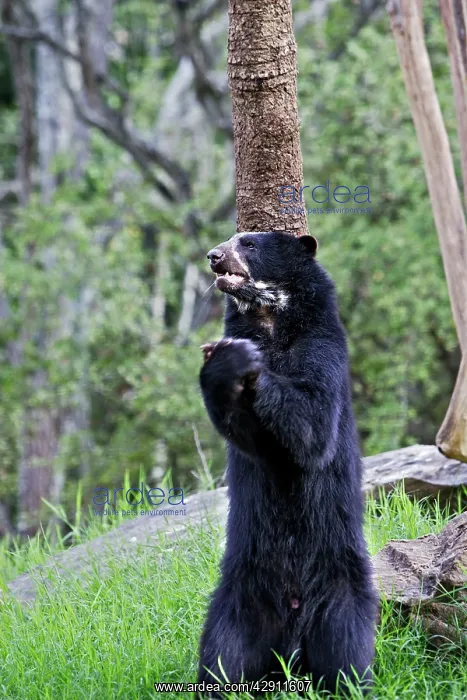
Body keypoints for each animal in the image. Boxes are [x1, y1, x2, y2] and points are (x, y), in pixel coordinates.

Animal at [197, 231, 377, 697]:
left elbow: (312, 423)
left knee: (347, 654)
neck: (270, 320)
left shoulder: (322, 344)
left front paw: (244, 360)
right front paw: (225, 360)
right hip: (237, 600)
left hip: (341, 591)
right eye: (229, 240)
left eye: (249, 243)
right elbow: (248, 437)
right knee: (222, 657)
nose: (213, 256)